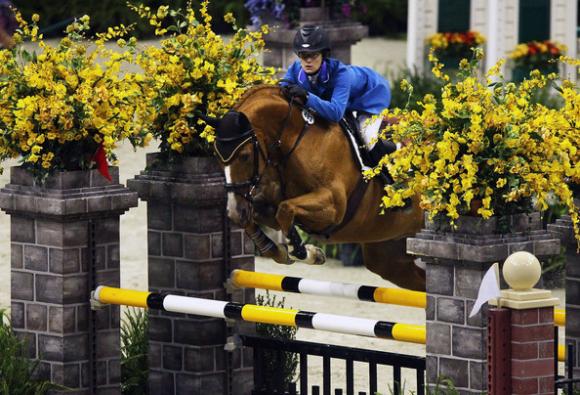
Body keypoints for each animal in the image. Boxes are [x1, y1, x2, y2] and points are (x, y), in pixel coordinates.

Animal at [208, 85, 426, 292]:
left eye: (244, 156)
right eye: (216, 157)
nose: (234, 212)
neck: (294, 139)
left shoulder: (333, 207)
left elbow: (285, 210)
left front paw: (307, 253)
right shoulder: (264, 198)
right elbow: (261, 217)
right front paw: (278, 250)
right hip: (389, 256)